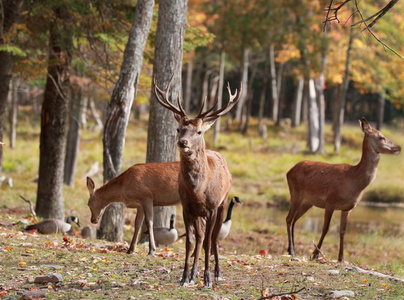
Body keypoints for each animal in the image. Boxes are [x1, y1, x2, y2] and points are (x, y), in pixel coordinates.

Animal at [155, 76, 241, 288]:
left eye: (199, 131)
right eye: (179, 129)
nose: (182, 142)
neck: (198, 191)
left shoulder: (212, 207)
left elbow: (210, 241)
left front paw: (207, 279)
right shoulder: (186, 207)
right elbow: (190, 242)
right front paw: (185, 277)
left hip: (223, 203)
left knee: (214, 238)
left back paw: (217, 273)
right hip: (199, 213)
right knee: (201, 238)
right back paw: (194, 274)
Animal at [288, 118, 400, 262]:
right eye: (381, 137)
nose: (398, 147)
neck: (353, 181)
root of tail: (289, 171)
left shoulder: (348, 208)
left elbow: (342, 231)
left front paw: (341, 258)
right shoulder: (330, 202)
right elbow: (325, 228)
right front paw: (315, 254)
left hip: (308, 202)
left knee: (294, 220)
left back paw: (292, 249)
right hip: (295, 193)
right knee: (289, 219)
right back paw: (291, 250)